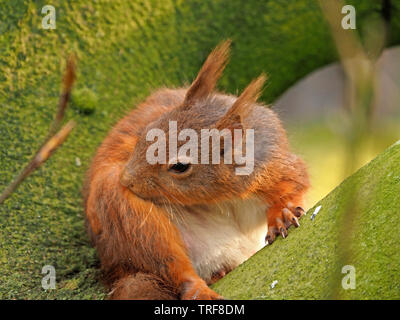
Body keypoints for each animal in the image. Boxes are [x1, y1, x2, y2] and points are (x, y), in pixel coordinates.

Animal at [83, 40, 310, 300]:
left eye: (180, 166)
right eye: (146, 130)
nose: (127, 178)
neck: (218, 196)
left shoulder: (273, 167)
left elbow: (294, 185)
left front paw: (282, 212)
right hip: (124, 214)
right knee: (167, 261)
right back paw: (199, 285)